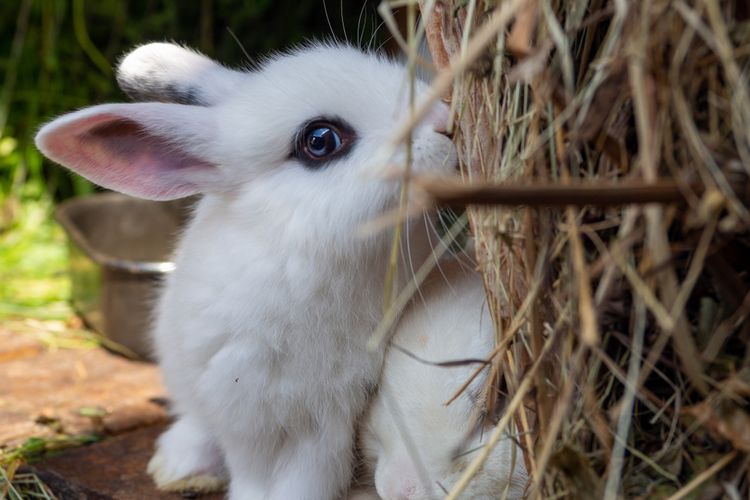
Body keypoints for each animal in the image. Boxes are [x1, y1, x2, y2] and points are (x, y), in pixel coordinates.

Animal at [36, 44, 458, 500]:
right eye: (320, 140)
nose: (445, 120)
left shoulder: (326, 419)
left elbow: (306, 482)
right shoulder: (258, 411)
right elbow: (261, 477)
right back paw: (180, 469)